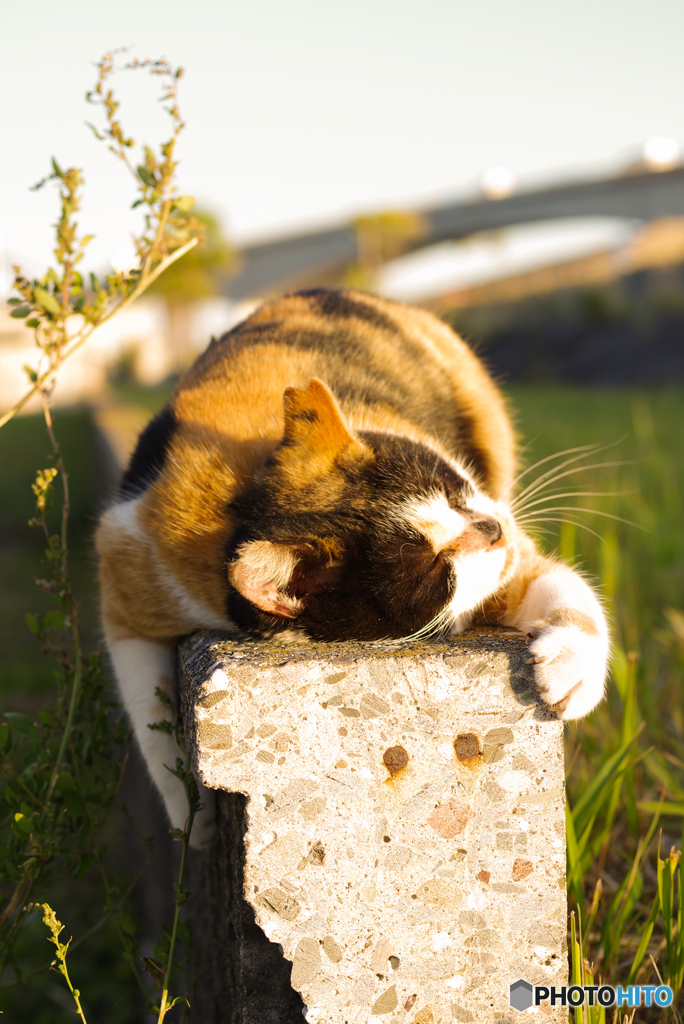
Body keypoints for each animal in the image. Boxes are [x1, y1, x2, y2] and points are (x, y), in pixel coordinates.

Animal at [97, 290, 610, 847]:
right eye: (432, 567)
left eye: (453, 488)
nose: (493, 529)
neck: (236, 510)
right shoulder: (125, 569)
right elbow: (149, 713)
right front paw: (195, 821)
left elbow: (554, 582)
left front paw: (574, 665)